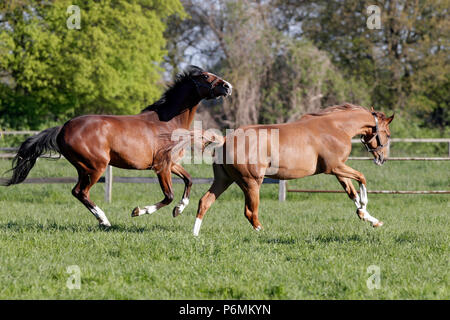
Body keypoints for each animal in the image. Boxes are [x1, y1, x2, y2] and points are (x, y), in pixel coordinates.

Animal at [4, 65, 232, 228]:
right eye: (205, 77)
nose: (228, 86)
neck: (167, 123)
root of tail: (62, 129)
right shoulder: (161, 167)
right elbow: (168, 196)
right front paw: (138, 211)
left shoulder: (171, 164)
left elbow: (189, 180)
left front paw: (179, 210)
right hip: (96, 166)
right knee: (80, 192)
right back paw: (104, 220)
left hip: (83, 168)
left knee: (78, 191)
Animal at [193, 104, 394, 236]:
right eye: (388, 134)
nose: (382, 158)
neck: (336, 127)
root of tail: (225, 140)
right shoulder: (335, 167)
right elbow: (362, 178)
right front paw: (365, 209)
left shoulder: (338, 170)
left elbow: (352, 193)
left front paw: (370, 218)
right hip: (251, 183)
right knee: (250, 212)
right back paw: (263, 232)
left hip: (224, 180)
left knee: (205, 202)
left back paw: (195, 234)